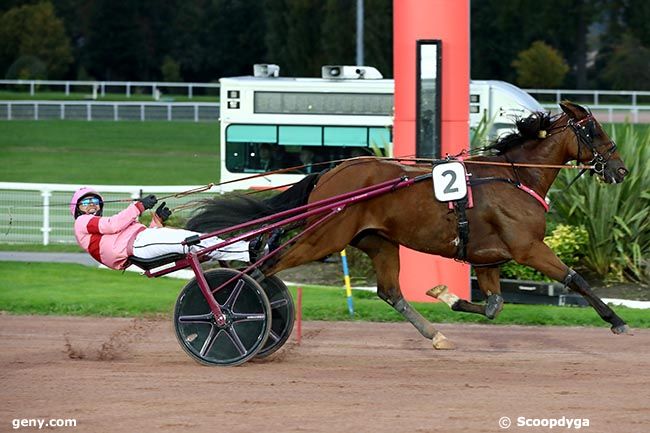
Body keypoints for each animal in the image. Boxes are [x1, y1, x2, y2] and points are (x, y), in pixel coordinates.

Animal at [186, 103, 628, 350]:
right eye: (594, 130)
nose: (621, 169)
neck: (515, 175)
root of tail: (330, 173)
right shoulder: (528, 248)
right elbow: (574, 279)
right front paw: (617, 321)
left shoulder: (488, 259)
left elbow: (493, 306)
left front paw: (446, 295)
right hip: (324, 236)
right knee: (263, 268)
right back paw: (226, 315)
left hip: (377, 241)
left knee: (390, 292)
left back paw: (435, 335)